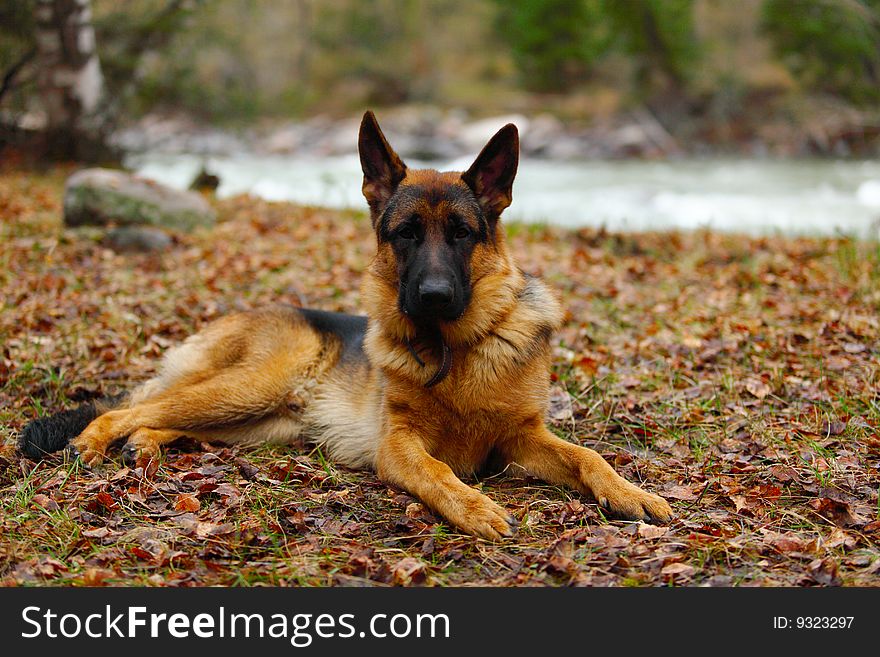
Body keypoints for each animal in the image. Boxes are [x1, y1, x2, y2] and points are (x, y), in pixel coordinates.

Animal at [20, 111, 672, 540]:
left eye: (461, 234)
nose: (433, 296)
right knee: (130, 407)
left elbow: (589, 457)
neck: (454, 351)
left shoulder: (521, 438)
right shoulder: (399, 446)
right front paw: (474, 507)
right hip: (250, 388)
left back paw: (146, 445)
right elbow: (438, 472)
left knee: (160, 415)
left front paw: (632, 493)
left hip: (256, 422)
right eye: (405, 233)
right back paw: (95, 442)